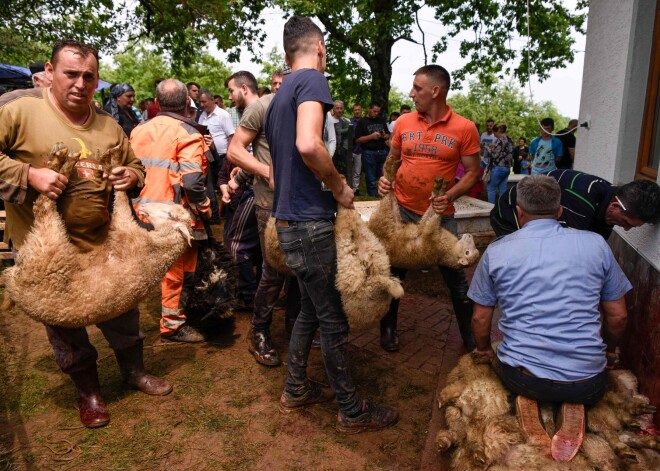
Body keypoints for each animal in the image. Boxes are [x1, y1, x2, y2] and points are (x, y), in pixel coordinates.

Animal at [3, 144, 193, 328]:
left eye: (170, 214)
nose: (144, 207)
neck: (158, 250)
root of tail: (15, 284)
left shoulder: (125, 229)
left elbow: (121, 199)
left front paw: (115, 161)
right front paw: (109, 162)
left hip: (48, 243)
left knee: (43, 204)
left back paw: (62, 163)